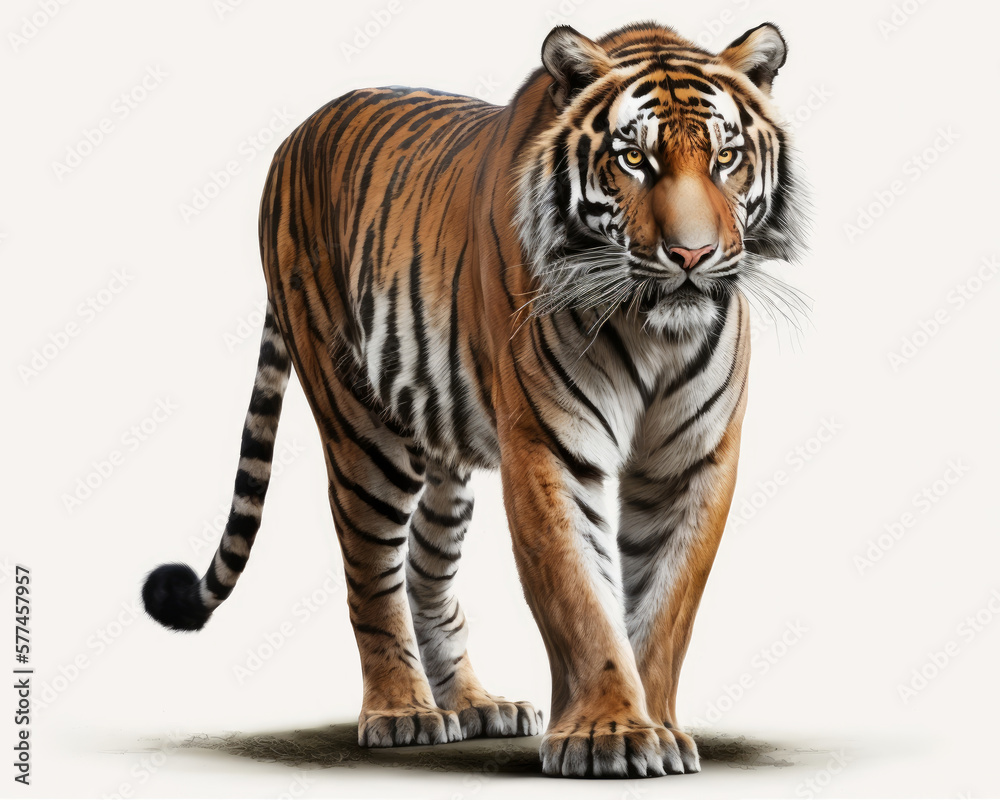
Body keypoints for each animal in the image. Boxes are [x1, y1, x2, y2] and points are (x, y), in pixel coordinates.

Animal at [142, 20, 806, 778]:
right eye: (634, 158)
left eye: (726, 157)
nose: (692, 258)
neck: (652, 329)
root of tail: (293, 138)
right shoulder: (548, 448)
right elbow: (579, 595)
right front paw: (608, 733)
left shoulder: (694, 458)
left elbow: (668, 606)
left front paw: (656, 726)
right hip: (362, 431)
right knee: (371, 571)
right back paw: (402, 712)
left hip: (442, 451)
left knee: (426, 570)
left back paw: (474, 704)